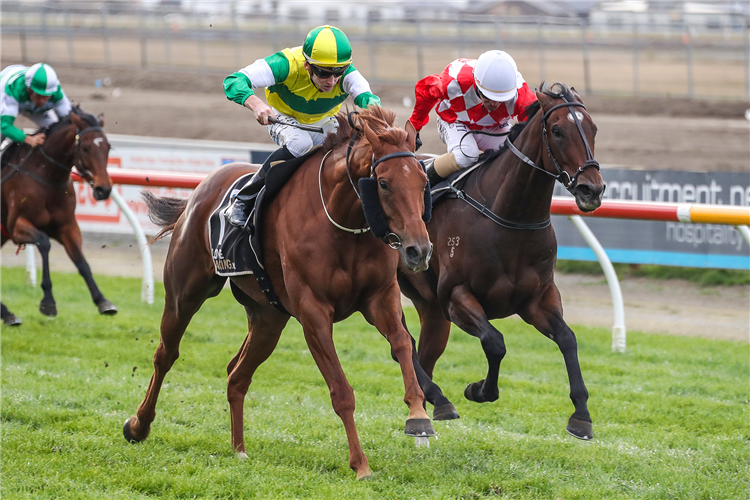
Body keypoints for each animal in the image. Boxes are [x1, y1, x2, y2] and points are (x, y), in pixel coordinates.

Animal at [0, 105, 117, 324]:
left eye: (108, 147)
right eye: (85, 148)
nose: (104, 189)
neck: (46, 177)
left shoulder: (67, 226)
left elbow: (82, 262)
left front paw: (103, 301)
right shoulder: (16, 226)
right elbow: (44, 243)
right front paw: (48, 302)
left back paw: (8, 315)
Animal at [123, 107, 434, 478]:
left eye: (423, 182)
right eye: (384, 183)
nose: (419, 250)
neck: (343, 220)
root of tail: (201, 189)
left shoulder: (380, 297)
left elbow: (402, 343)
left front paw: (418, 417)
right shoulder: (313, 312)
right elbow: (341, 391)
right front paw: (360, 465)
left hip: (268, 317)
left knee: (236, 375)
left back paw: (239, 449)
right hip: (184, 295)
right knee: (165, 355)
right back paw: (138, 425)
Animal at [402, 84, 608, 440]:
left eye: (594, 128)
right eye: (557, 131)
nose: (591, 189)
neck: (510, 217)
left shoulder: (537, 298)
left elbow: (568, 338)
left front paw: (581, 415)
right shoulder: (456, 296)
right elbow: (495, 342)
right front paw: (478, 389)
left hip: (430, 307)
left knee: (424, 348)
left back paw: (429, 401)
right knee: (403, 340)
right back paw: (438, 398)